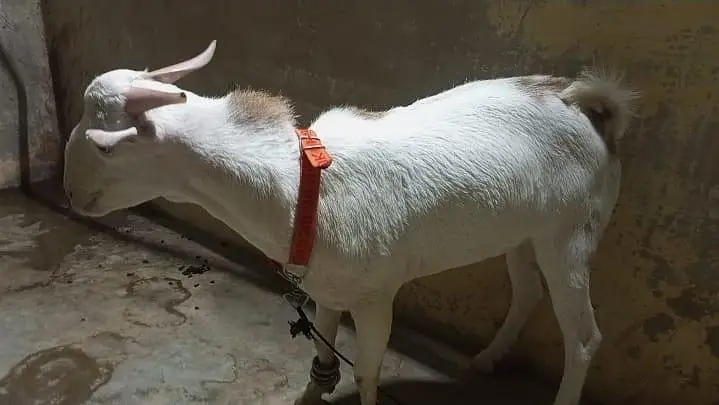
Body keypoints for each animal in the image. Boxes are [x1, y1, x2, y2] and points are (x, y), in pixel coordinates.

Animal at [64, 40, 638, 405]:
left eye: (105, 148)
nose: (71, 193)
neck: (298, 185)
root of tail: (586, 104)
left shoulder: (376, 295)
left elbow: (366, 373)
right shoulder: (328, 288)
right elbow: (322, 358)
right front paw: (310, 390)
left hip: (571, 231)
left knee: (584, 338)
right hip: (525, 229)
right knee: (527, 292)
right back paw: (485, 359)